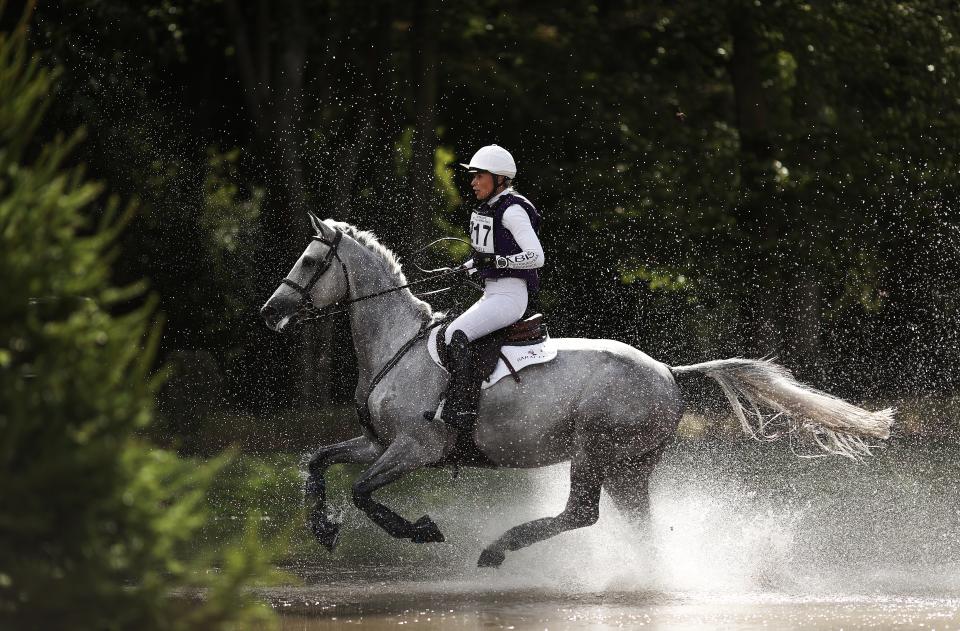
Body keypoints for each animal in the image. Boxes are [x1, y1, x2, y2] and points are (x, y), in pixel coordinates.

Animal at [260, 215, 892, 572]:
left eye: (310, 261)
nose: (270, 312)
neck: (397, 345)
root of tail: (668, 371)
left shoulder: (416, 448)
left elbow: (364, 492)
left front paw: (419, 530)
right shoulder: (380, 442)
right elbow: (318, 461)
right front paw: (322, 527)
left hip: (596, 449)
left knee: (582, 513)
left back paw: (499, 548)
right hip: (630, 466)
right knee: (632, 524)